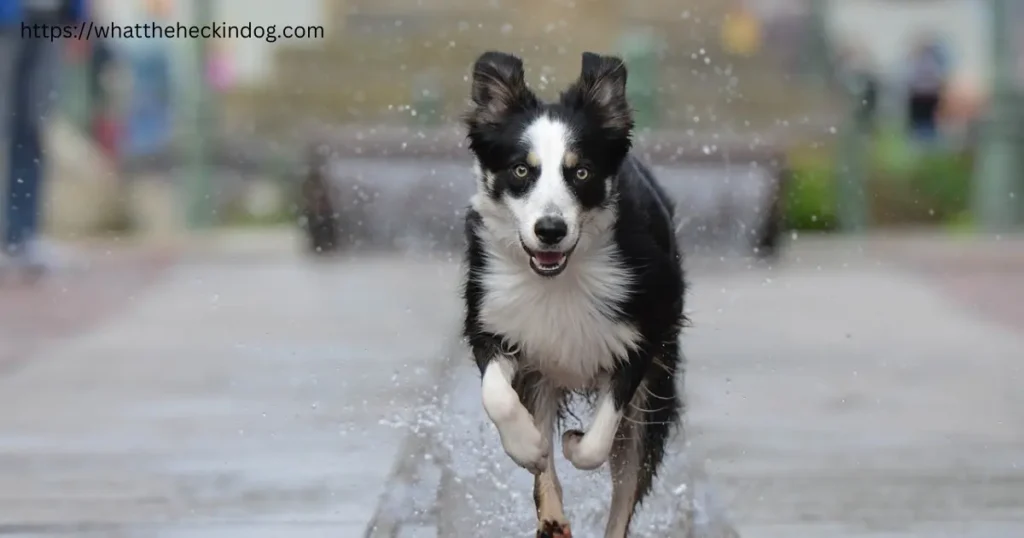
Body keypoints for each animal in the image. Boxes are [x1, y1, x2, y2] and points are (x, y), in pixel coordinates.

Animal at [462, 51, 688, 536]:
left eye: (581, 171)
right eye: (521, 170)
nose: (550, 230)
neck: (557, 281)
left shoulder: (640, 335)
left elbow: (599, 440)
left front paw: (573, 442)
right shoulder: (494, 318)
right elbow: (498, 396)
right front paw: (527, 445)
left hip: (657, 388)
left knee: (627, 482)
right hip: (543, 372)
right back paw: (551, 513)